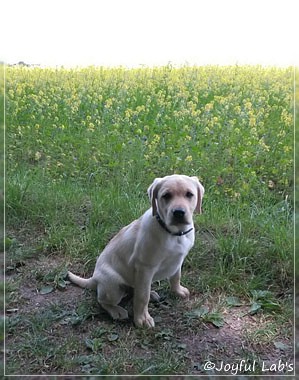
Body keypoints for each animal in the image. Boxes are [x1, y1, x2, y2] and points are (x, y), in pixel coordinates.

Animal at [68, 175, 204, 326]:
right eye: (166, 196)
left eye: (189, 194)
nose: (179, 212)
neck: (174, 233)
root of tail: (94, 278)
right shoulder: (145, 267)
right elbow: (142, 297)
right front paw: (142, 319)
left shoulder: (177, 260)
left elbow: (175, 277)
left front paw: (178, 291)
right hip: (113, 285)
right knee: (103, 300)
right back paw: (116, 311)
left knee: (135, 289)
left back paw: (151, 293)